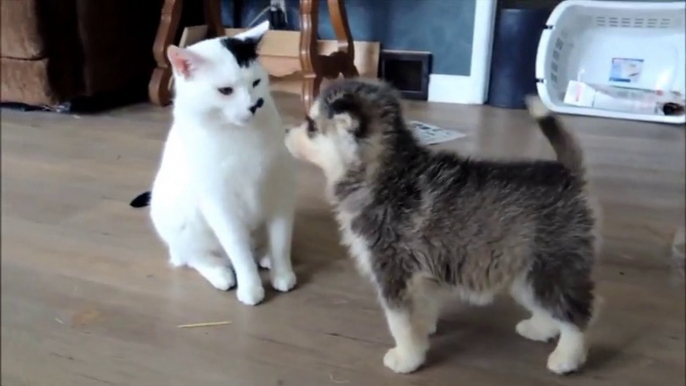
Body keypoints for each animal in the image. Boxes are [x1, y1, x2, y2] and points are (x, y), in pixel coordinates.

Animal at [132, 21, 298, 306]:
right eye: (225, 91)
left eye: (255, 82)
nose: (254, 105)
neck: (241, 137)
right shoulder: (220, 206)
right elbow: (238, 252)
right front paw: (251, 288)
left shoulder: (280, 191)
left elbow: (280, 241)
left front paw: (282, 274)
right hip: (181, 226)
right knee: (191, 258)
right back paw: (220, 272)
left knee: (257, 245)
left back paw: (263, 255)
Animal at [284, 78, 600, 374]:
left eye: (311, 125)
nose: (286, 131)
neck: (383, 171)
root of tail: (566, 173)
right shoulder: (422, 273)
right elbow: (421, 310)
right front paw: (421, 336)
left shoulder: (392, 271)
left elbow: (398, 322)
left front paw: (406, 358)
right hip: (523, 269)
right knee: (550, 307)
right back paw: (540, 329)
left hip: (551, 266)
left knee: (576, 315)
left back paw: (567, 358)